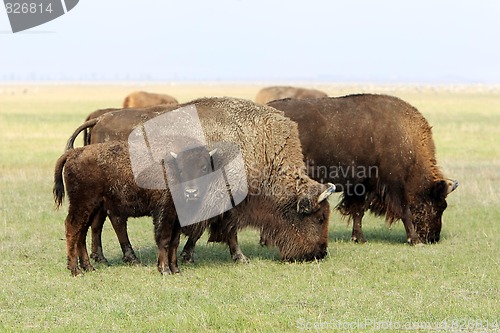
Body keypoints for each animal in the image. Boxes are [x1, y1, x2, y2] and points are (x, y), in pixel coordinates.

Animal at [56, 96, 334, 274]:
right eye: (319, 217)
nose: (320, 252)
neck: (258, 145)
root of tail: (101, 119)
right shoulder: (223, 200)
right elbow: (220, 230)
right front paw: (236, 257)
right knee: (111, 222)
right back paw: (120, 258)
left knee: (99, 223)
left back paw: (102, 259)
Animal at [268, 93, 458, 244]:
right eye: (439, 205)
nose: (433, 238)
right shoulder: (394, 185)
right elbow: (405, 212)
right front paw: (415, 240)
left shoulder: (363, 187)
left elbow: (358, 212)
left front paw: (359, 238)